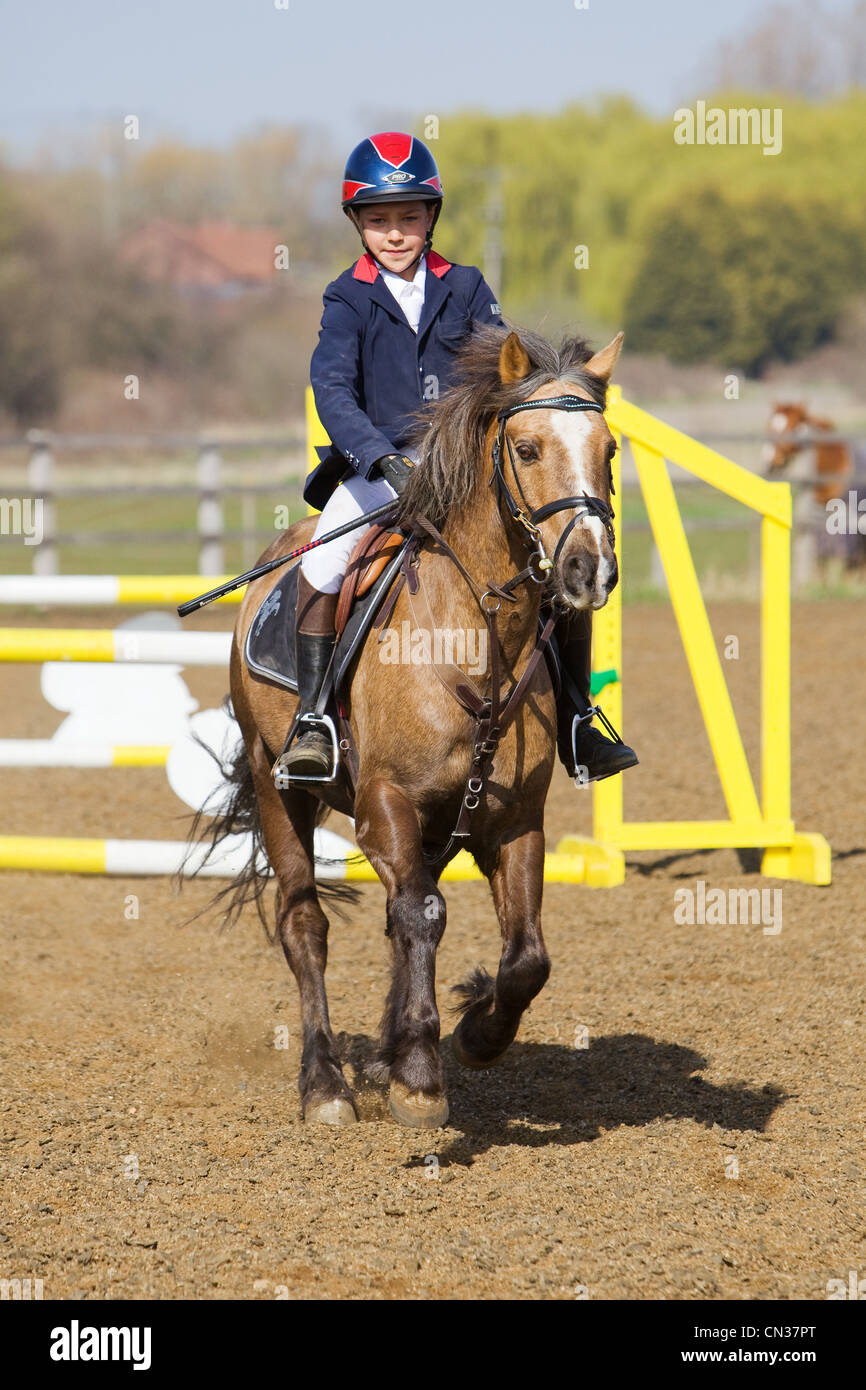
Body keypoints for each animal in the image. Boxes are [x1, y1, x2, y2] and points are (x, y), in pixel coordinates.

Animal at [199, 325, 623, 1130]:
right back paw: (326, 1085)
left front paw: (474, 1036)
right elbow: (423, 915)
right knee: (306, 927)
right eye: (526, 449)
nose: (589, 572)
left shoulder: (514, 822)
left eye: (610, 450)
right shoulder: (385, 805)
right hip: (279, 789)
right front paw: (421, 1079)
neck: (479, 641)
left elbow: (527, 956)